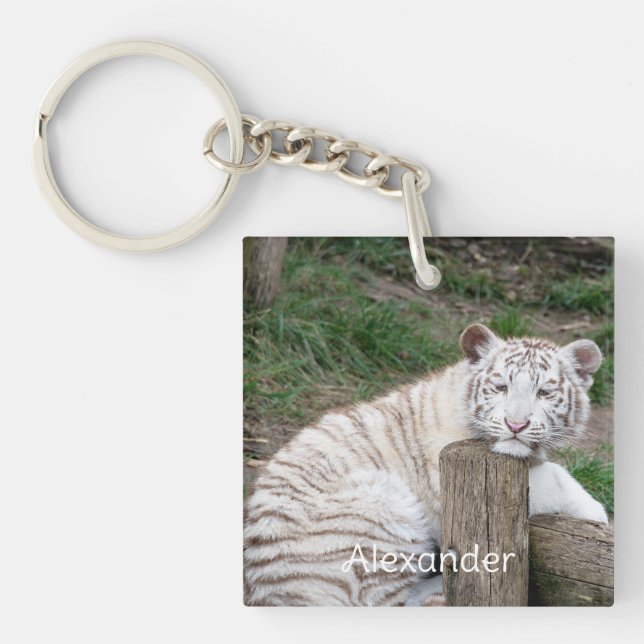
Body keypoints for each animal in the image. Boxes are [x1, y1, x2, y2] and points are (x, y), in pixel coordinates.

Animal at [243, 323, 608, 606]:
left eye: (544, 392)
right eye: (500, 386)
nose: (515, 424)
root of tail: (272, 589)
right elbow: (555, 477)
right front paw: (597, 515)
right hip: (382, 509)